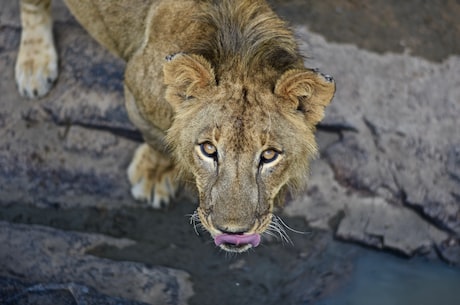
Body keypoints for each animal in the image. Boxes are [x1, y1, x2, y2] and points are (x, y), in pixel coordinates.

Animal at [16, 0, 336, 252]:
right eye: (208, 149)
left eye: (269, 155)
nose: (233, 232)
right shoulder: (135, 93)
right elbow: (158, 142)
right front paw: (153, 177)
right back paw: (34, 66)